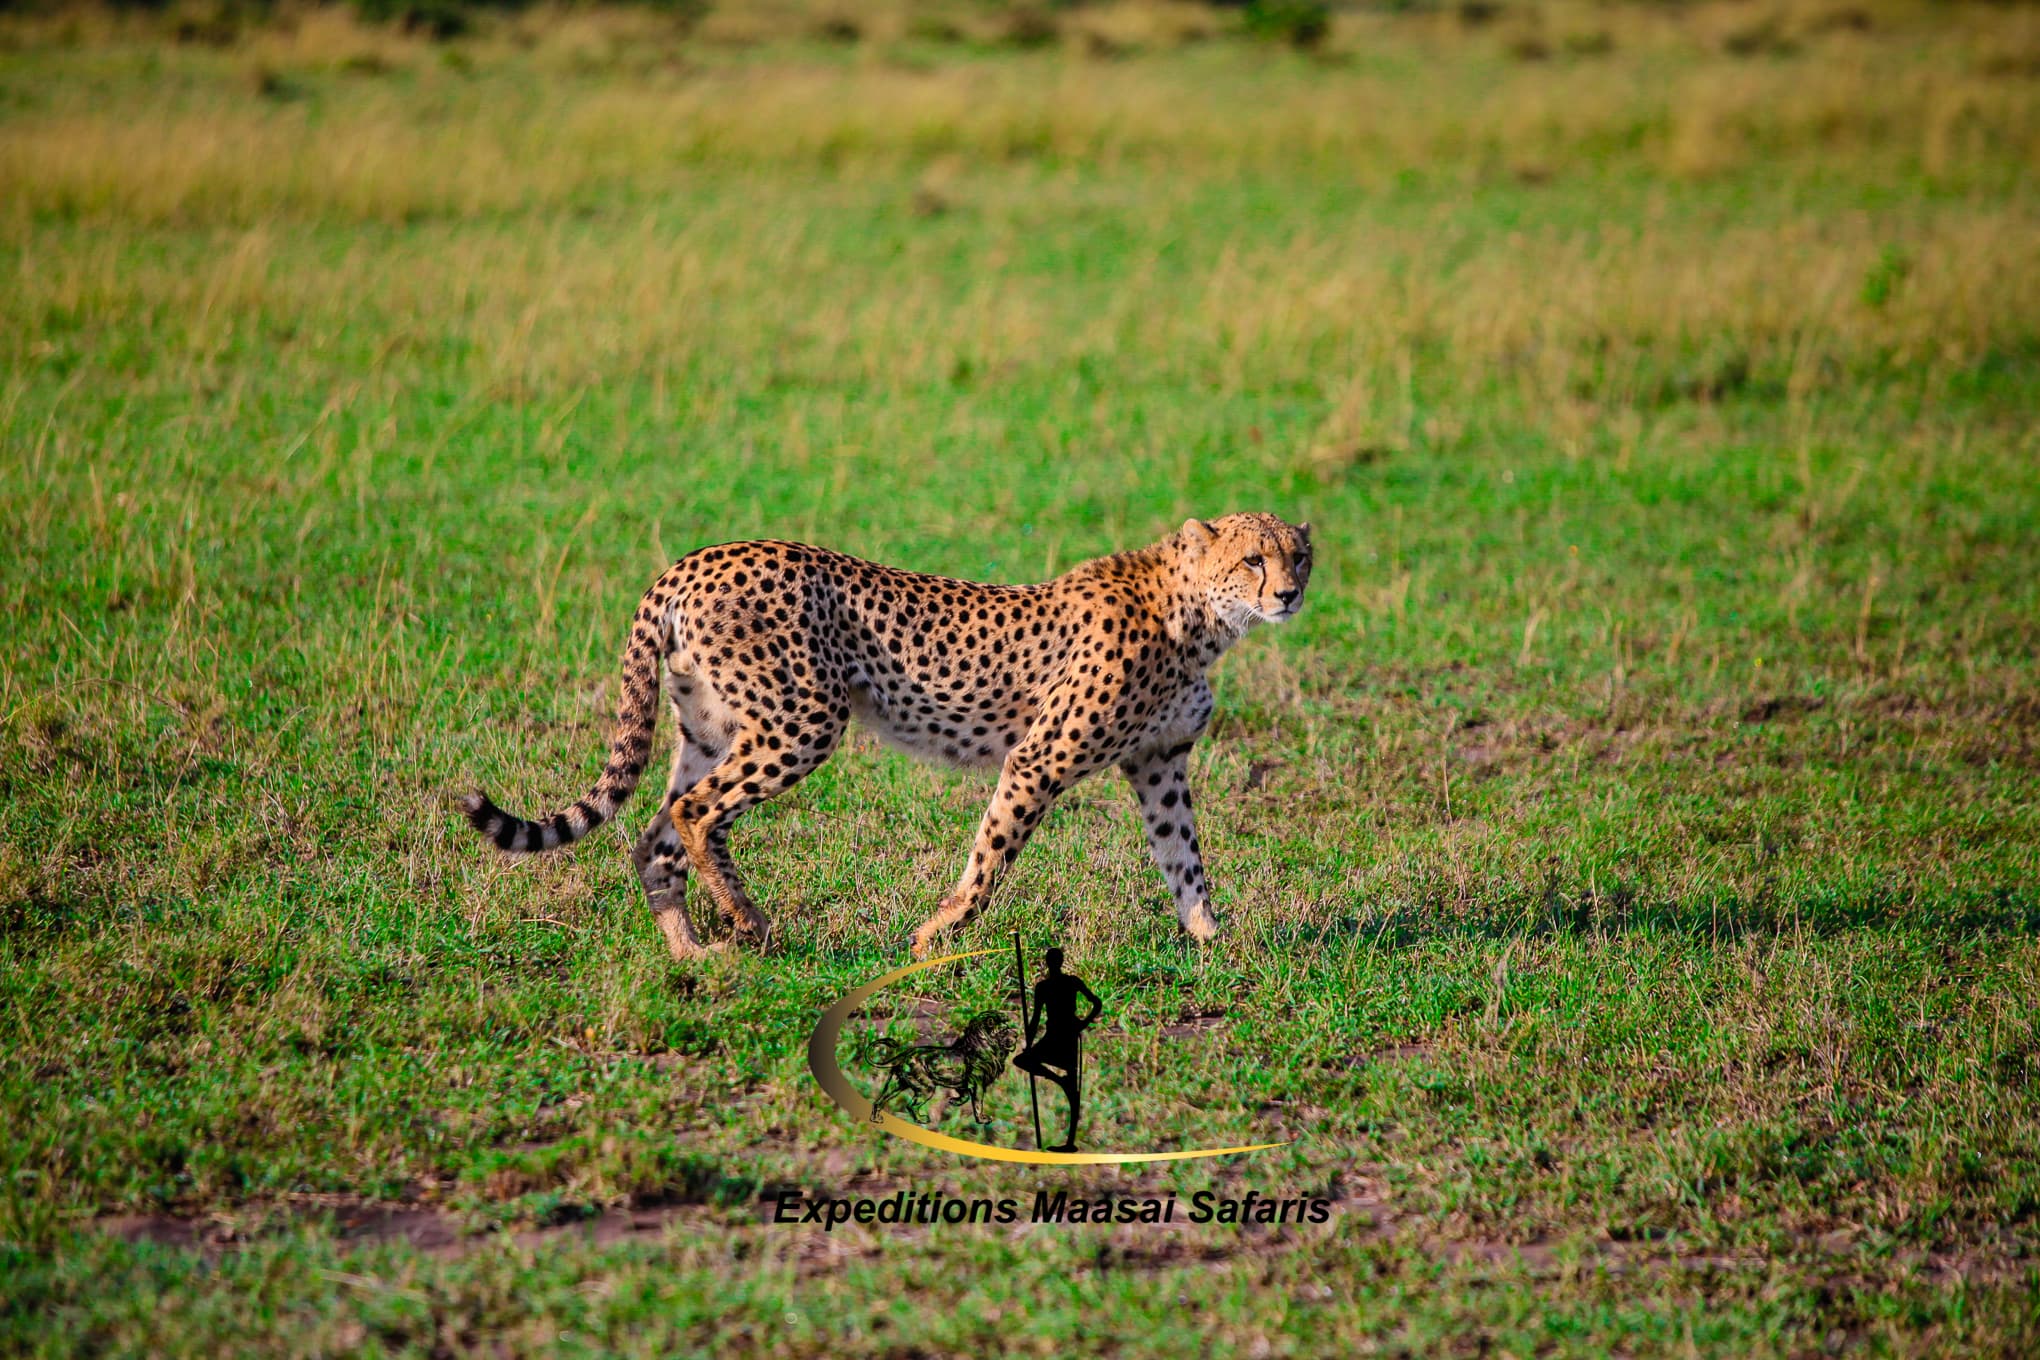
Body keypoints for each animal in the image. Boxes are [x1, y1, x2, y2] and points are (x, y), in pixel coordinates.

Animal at [459, 512, 1313, 961]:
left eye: (1298, 554)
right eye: (1252, 558)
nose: (1290, 594)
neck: (1195, 615)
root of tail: (695, 559)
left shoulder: (1158, 761)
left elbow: (1185, 859)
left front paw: (1215, 942)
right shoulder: (1038, 759)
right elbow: (991, 861)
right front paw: (935, 940)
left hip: (710, 725)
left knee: (656, 829)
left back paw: (693, 953)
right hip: (801, 719)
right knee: (697, 813)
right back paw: (749, 923)